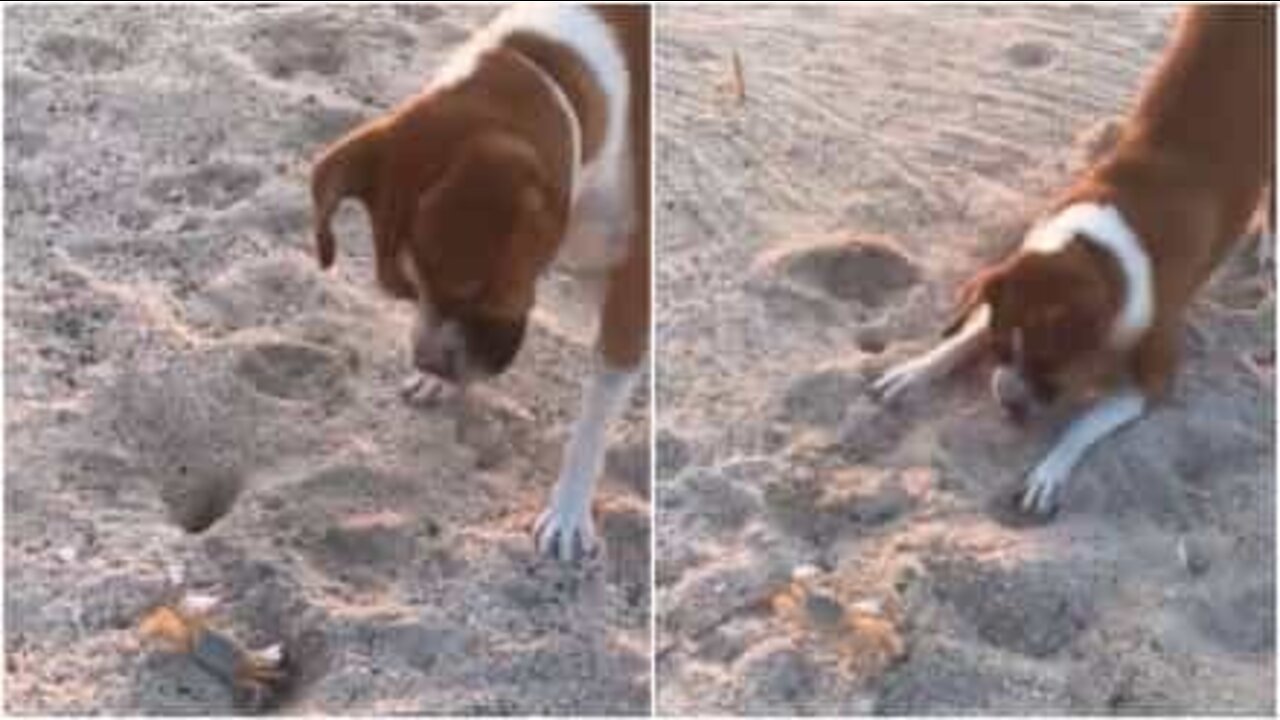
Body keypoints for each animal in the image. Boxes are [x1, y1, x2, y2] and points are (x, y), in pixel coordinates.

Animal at [308, 4, 650, 561]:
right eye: (406, 292)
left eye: (469, 290)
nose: (430, 363)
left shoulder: (629, 300)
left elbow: (593, 419)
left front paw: (568, 510)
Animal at [875, 4, 1274, 509]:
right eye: (1001, 349)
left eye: (1050, 367)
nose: (1008, 401)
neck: (1095, 254)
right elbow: (970, 329)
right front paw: (919, 367)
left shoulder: (1155, 380)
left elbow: (1082, 424)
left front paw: (1050, 469)